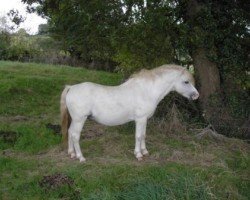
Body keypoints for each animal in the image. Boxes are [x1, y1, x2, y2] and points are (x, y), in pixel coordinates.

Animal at [60, 64, 199, 162]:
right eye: (186, 82)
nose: (196, 95)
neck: (147, 90)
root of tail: (71, 88)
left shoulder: (145, 119)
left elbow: (143, 135)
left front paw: (145, 151)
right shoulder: (140, 119)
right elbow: (138, 136)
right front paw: (138, 155)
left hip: (75, 120)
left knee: (70, 132)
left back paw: (71, 154)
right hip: (80, 120)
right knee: (75, 136)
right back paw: (80, 157)